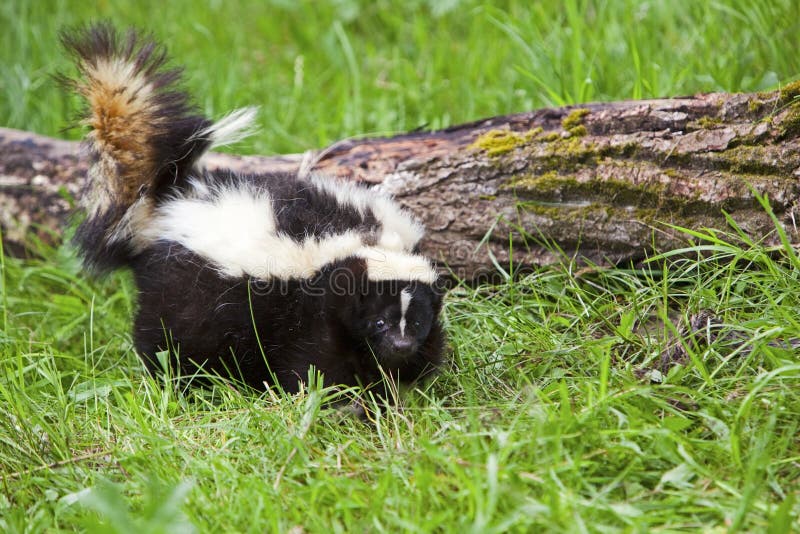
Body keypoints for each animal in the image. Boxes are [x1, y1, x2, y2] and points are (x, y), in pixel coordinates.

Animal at [62, 23, 446, 396]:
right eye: (378, 321)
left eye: (416, 321)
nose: (401, 345)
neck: (362, 244)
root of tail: (170, 201)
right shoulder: (309, 309)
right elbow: (316, 362)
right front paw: (341, 398)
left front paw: (404, 384)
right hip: (180, 294)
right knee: (165, 339)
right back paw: (176, 383)